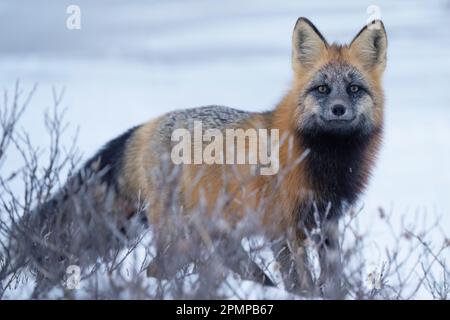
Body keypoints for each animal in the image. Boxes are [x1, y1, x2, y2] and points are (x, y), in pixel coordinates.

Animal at [28, 17, 386, 296]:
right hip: (183, 239)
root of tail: (149, 124)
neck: (323, 160)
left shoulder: (328, 222)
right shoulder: (284, 228)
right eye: (322, 89)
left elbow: (333, 279)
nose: (338, 109)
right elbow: (302, 283)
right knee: (157, 272)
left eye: (353, 89)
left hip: (215, 239)